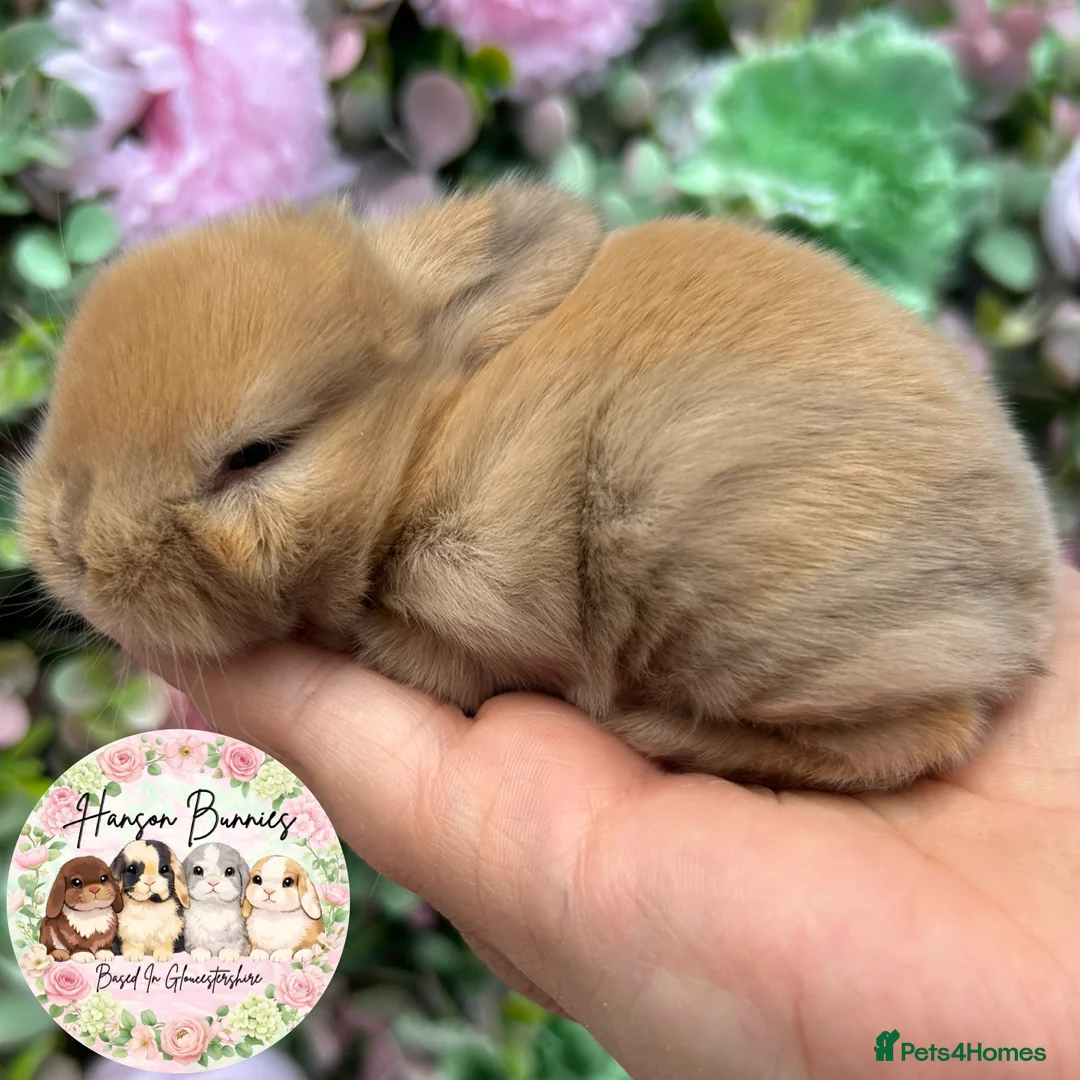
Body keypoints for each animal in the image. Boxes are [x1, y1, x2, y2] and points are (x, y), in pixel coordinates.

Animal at [17, 181, 1059, 792]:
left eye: (255, 454)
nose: (67, 549)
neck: (421, 446)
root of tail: (1026, 596)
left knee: (927, 732)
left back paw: (653, 727)